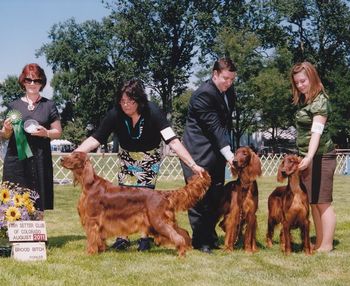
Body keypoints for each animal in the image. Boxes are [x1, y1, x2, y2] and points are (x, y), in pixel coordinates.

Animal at [60, 152, 211, 256]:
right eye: (72, 152)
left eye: (75, 156)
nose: (61, 159)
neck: (90, 184)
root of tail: (163, 194)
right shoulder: (100, 223)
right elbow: (99, 238)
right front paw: (101, 250)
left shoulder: (92, 220)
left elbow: (92, 238)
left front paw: (90, 253)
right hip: (164, 221)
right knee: (183, 232)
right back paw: (188, 248)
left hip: (158, 221)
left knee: (178, 236)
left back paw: (181, 253)